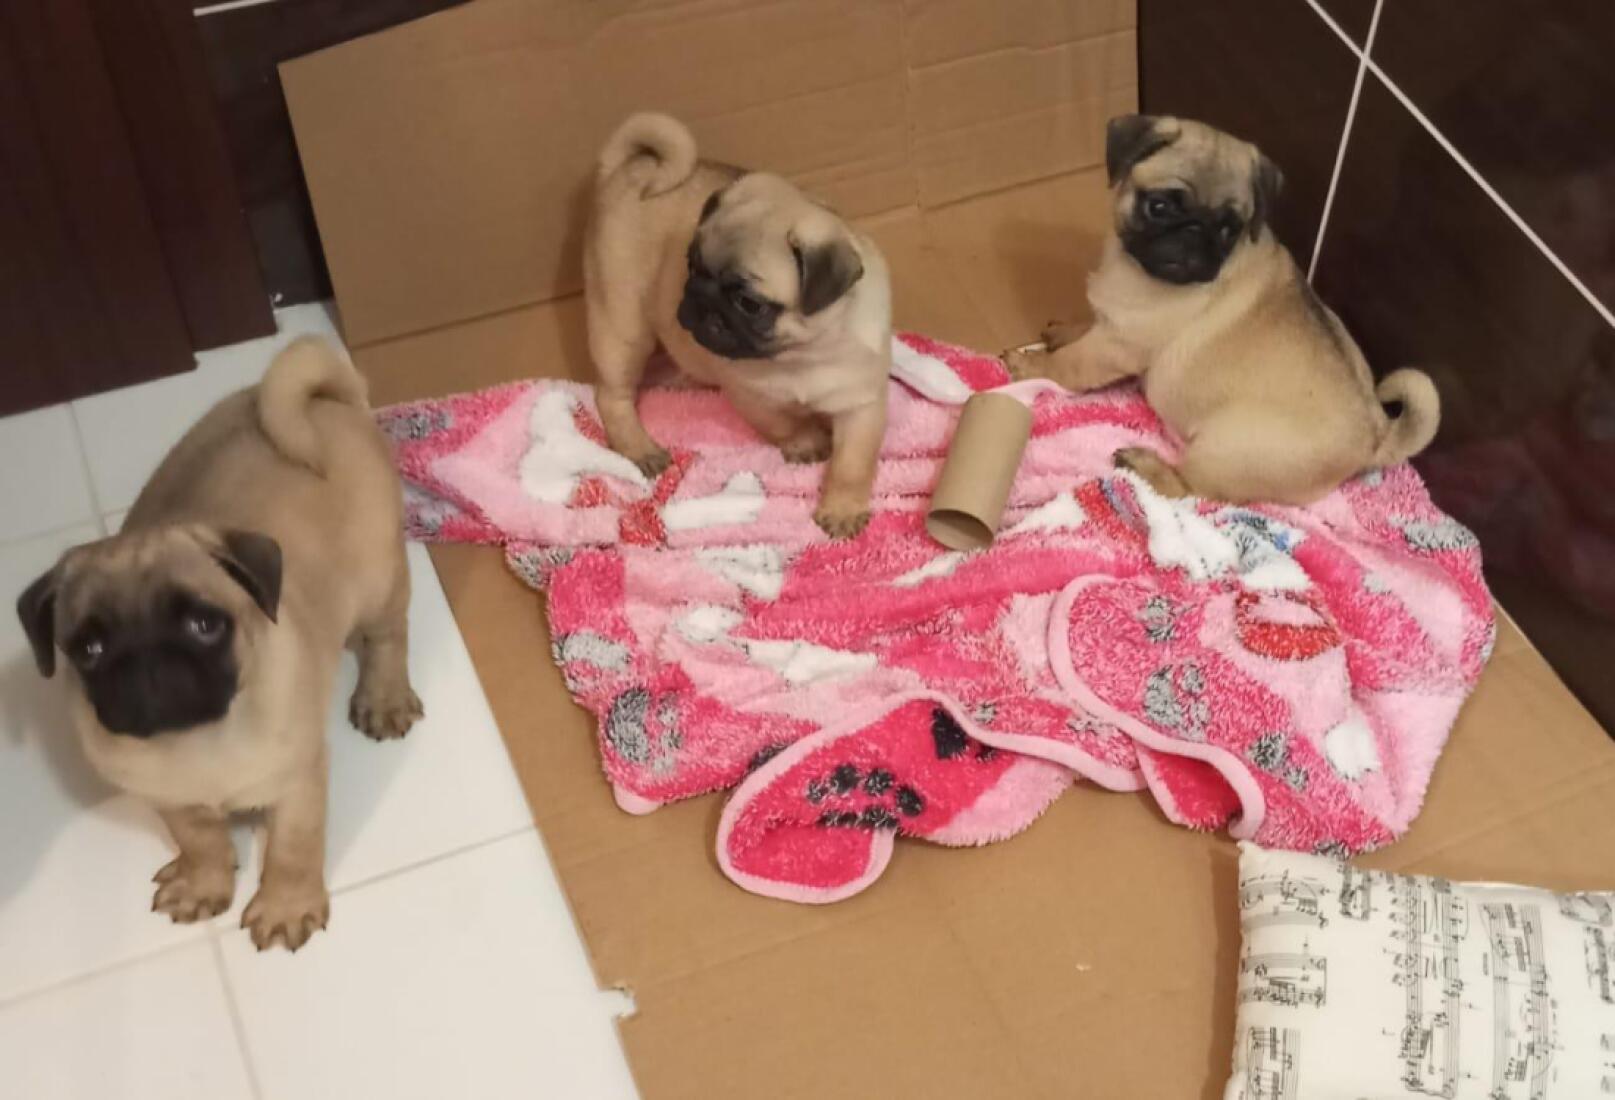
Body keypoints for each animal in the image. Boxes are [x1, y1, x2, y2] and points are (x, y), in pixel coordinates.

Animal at [16, 337, 422, 952]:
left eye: (205, 626)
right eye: (88, 650)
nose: (148, 661)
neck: (197, 742)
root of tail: (326, 401)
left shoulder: (297, 785)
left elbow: (293, 850)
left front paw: (285, 905)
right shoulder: (172, 802)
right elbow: (201, 841)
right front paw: (204, 883)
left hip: (379, 577)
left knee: (387, 636)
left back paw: (384, 697)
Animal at [584, 112, 893, 538]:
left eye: (749, 303)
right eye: (692, 266)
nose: (699, 297)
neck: (798, 355)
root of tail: (630, 167)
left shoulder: (859, 405)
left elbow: (852, 465)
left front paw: (843, 509)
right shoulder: (754, 399)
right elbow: (785, 423)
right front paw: (806, 442)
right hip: (622, 326)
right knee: (612, 394)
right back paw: (640, 447)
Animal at [1004, 115, 1440, 505]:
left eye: (1230, 229)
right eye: (1159, 206)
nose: (1196, 232)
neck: (1133, 267)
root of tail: (1376, 438)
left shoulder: (1114, 346)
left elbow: (1069, 364)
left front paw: (1031, 366)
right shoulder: (1108, 323)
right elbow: (1084, 326)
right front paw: (1061, 332)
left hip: (1227, 449)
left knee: (1187, 489)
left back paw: (1145, 467)